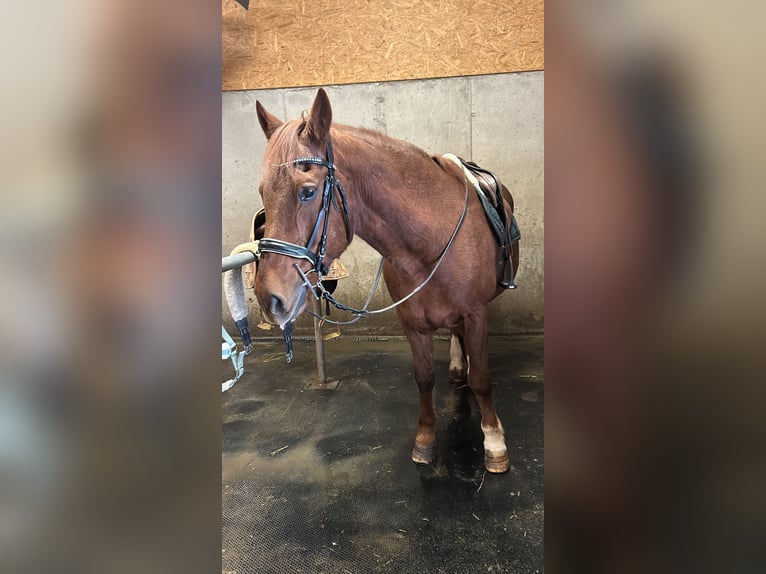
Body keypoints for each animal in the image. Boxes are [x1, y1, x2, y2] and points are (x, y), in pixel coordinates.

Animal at [255, 90, 520, 474]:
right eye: (263, 193)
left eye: (307, 192)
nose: (269, 298)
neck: (431, 240)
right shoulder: (411, 322)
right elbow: (424, 379)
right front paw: (425, 441)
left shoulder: (476, 314)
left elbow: (483, 380)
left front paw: (495, 443)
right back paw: (458, 366)